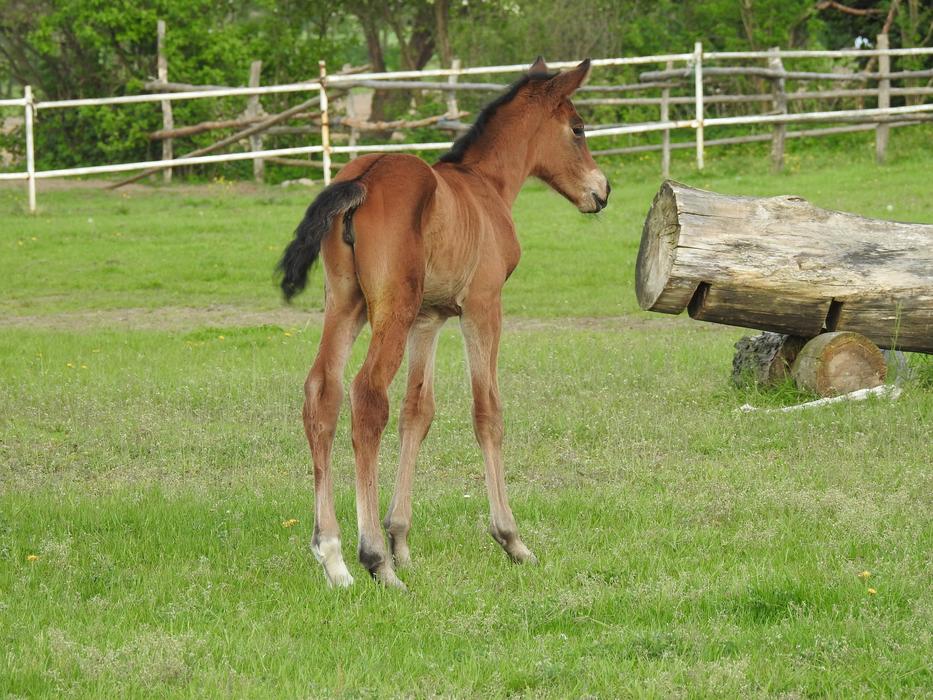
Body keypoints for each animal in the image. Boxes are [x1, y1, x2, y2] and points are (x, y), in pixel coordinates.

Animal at [278, 56, 610, 589]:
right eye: (577, 129)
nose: (602, 191)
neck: (484, 184)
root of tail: (364, 176)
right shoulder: (483, 306)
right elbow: (487, 411)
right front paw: (511, 540)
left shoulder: (429, 319)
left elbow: (418, 412)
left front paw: (401, 539)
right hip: (389, 310)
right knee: (367, 396)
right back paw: (373, 558)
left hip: (346, 305)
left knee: (322, 392)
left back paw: (334, 557)